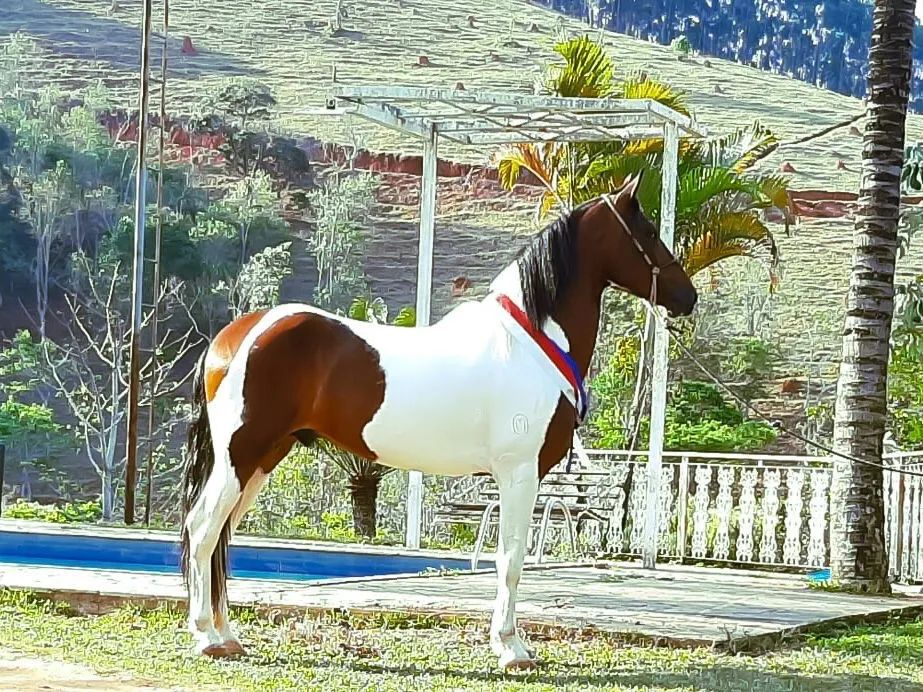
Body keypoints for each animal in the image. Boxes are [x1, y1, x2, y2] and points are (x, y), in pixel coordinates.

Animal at [178, 172, 698, 670]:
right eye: (648, 231)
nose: (687, 296)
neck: (530, 342)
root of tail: (236, 336)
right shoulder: (519, 473)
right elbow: (510, 558)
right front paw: (511, 648)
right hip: (240, 456)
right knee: (203, 529)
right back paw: (207, 637)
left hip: (263, 458)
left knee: (221, 536)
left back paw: (226, 636)